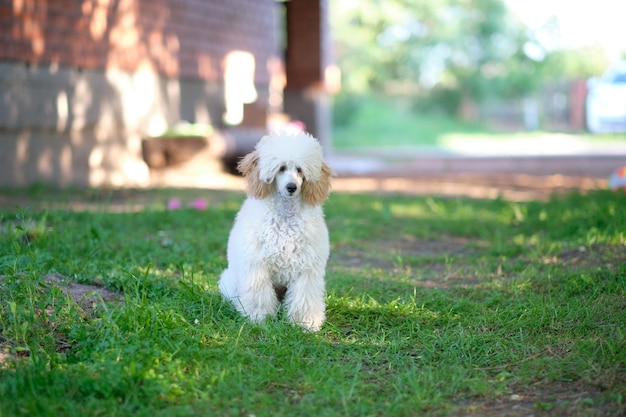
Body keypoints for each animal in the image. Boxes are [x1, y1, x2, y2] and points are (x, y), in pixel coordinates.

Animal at [219, 132, 334, 330]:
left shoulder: (307, 268)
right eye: (280, 168)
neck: (285, 217)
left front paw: (305, 323)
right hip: (231, 281)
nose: (291, 187)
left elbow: (305, 296)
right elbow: (259, 296)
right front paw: (259, 319)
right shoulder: (257, 266)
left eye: (300, 169)